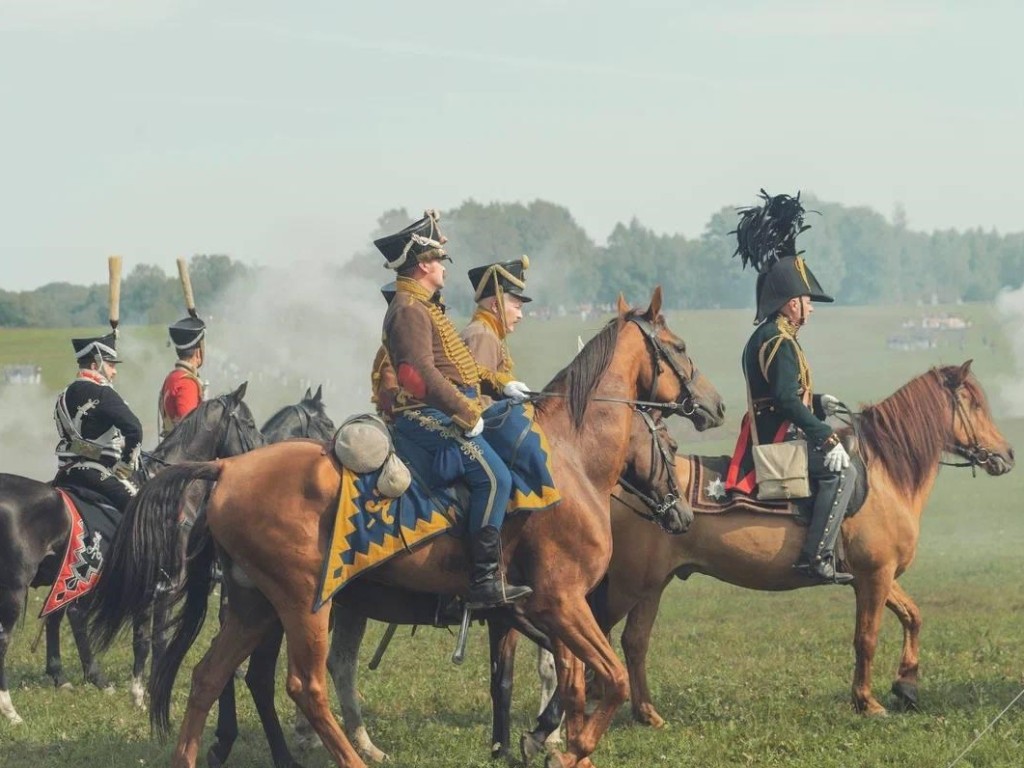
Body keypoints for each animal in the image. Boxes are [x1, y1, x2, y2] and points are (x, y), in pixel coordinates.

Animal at [90, 288, 729, 768]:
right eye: (679, 346)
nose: (716, 406)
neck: (570, 458)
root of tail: (227, 468)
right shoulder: (559, 601)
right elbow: (608, 677)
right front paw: (562, 748)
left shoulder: (542, 611)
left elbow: (568, 680)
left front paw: (551, 745)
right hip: (303, 604)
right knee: (304, 686)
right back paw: (349, 755)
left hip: (254, 606)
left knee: (208, 678)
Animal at [499, 360, 1011, 745]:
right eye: (974, 402)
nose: (1005, 455)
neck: (885, 476)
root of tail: (616, 487)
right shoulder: (874, 576)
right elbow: (866, 638)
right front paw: (868, 702)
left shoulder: (877, 578)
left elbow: (913, 616)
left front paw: (906, 685)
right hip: (627, 587)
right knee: (592, 640)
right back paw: (563, 722)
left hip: (651, 587)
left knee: (633, 642)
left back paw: (645, 714)